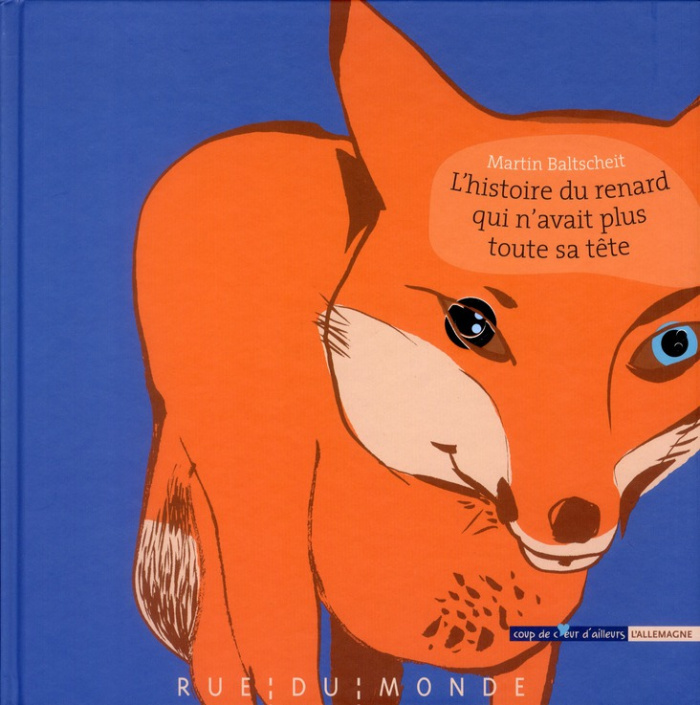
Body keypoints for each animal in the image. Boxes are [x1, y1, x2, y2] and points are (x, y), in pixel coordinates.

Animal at [132, 2, 699, 704]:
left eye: (674, 346)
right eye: (470, 323)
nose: (572, 520)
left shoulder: (524, 648)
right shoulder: (284, 585)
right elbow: (280, 665)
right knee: (216, 654)